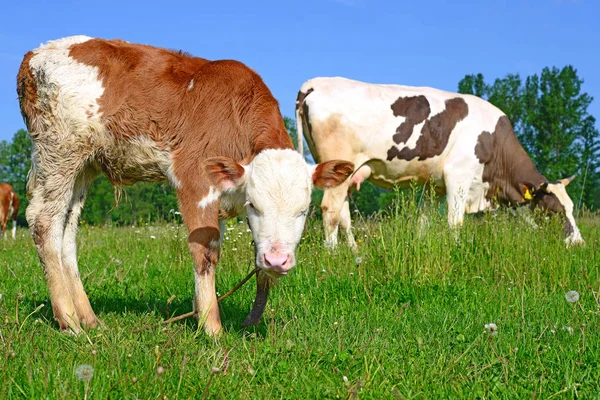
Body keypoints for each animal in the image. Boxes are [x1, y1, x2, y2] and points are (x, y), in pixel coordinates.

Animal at [16, 36, 354, 334]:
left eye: (303, 211)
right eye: (253, 206)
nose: (277, 260)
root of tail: (36, 53)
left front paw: (201, 311)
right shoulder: (195, 178)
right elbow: (206, 250)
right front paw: (212, 327)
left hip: (84, 167)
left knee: (67, 231)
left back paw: (89, 318)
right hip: (59, 152)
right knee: (44, 221)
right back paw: (69, 320)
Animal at [296, 76, 584, 248]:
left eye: (572, 208)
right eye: (554, 211)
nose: (579, 243)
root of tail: (316, 82)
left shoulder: (432, 186)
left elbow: (423, 222)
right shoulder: (458, 175)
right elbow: (455, 221)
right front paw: (457, 251)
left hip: (345, 171)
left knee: (343, 212)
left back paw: (354, 251)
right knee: (330, 210)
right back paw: (333, 254)